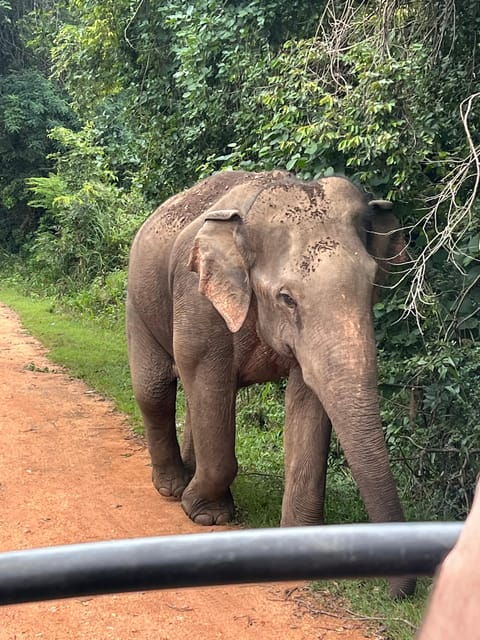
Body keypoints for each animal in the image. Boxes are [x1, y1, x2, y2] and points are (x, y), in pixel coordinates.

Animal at [126, 169, 415, 597]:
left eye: (371, 287)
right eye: (286, 298)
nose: (395, 592)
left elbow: (308, 398)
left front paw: (301, 544)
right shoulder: (197, 298)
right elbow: (207, 378)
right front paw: (208, 516)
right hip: (140, 300)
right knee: (156, 388)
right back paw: (173, 488)